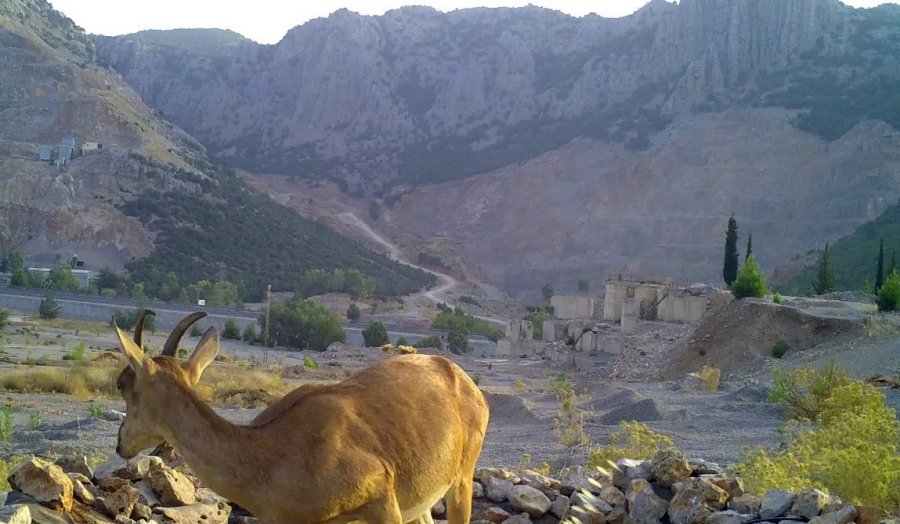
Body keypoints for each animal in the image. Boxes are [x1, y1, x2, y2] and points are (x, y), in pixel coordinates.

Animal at [117, 314, 492, 520]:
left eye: (122, 383)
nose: (121, 443)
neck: (269, 458)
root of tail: (461, 377)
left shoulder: (381, 501)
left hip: (461, 477)